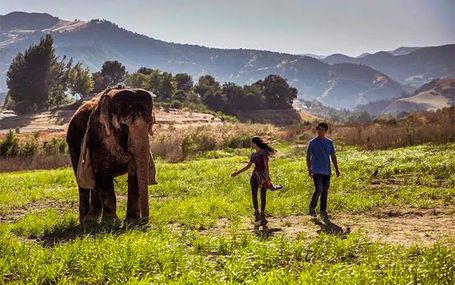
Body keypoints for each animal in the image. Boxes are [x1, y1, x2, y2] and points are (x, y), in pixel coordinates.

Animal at [67, 86, 158, 224]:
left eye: (149, 122)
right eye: (124, 125)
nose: (144, 221)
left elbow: (134, 171)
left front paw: (131, 222)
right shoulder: (98, 135)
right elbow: (103, 172)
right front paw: (111, 222)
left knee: (94, 183)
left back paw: (92, 219)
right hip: (73, 144)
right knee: (84, 181)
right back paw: (86, 221)